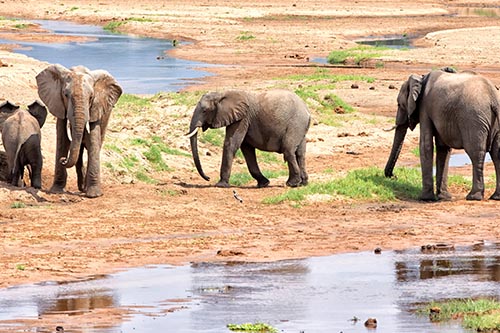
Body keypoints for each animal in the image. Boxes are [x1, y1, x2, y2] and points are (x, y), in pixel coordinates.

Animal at [36, 63, 122, 196]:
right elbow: (63, 141)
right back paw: (81, 187)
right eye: (65, 95)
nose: (63, 159)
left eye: (91, 97)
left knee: (96, 145)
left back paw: (84, 188)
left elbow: (93, 141)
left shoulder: (95, 108)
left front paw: (93, 195)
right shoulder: (59, 107)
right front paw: (56, 191)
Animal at [384, 68, 500, 200]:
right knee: (497, 154)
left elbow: (426, 145)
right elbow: (443, 148)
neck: (421, 78)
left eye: (399, 104)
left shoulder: (424, 108)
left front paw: (425, 198)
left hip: (473, 120)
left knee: (475, 153)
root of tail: (493, 97)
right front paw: (443, 197)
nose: (393, 176)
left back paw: (473, 197)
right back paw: (495, 197)